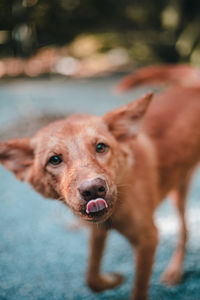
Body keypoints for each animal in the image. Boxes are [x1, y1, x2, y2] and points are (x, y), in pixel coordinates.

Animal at [0, 63, 200, 300]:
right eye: (54, 159)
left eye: (101, 147)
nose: (93, 189)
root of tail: (192, 88)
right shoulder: (97, 231)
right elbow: (91, 277)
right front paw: (113, 280)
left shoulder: (148, 239)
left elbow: (138, 289)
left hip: (179, 193)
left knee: (184, 231)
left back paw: (174, 270)